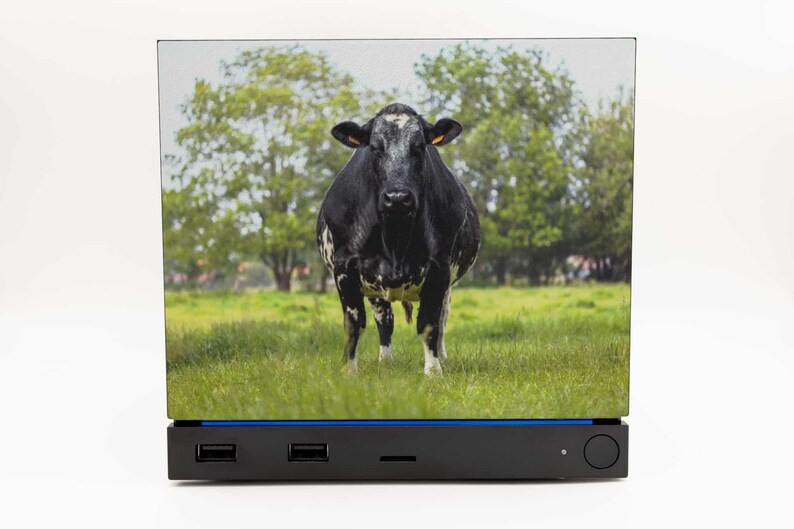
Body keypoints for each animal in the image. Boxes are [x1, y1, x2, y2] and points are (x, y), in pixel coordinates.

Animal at [316, 103, 481, 375]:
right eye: (374, 147)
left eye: (419, 147)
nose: (397, 198)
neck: (395, 238)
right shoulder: (344, 268)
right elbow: (353, 324)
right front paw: (349, 371)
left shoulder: (439, 268)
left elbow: (429, 324)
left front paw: (433, 370)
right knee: (385, 320)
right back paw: (385, 360)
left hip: (448, 285)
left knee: (442, 317)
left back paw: (442, 356)